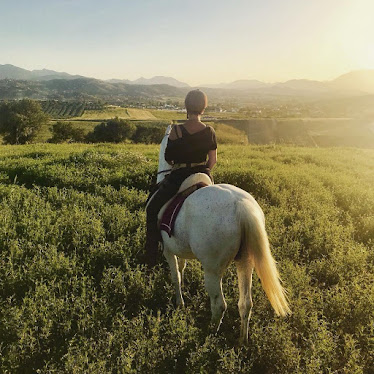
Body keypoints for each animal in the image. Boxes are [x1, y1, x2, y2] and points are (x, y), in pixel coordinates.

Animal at [152, 125, 290, 344]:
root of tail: (241, 207)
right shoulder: (179, 248)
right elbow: (182, 269)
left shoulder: (168, 250)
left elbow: (176, 277)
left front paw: (179, 304)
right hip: (246, 262)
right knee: (246, 303)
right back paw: (242, 341)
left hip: (212, 270)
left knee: (219, 305)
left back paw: (209, 336)